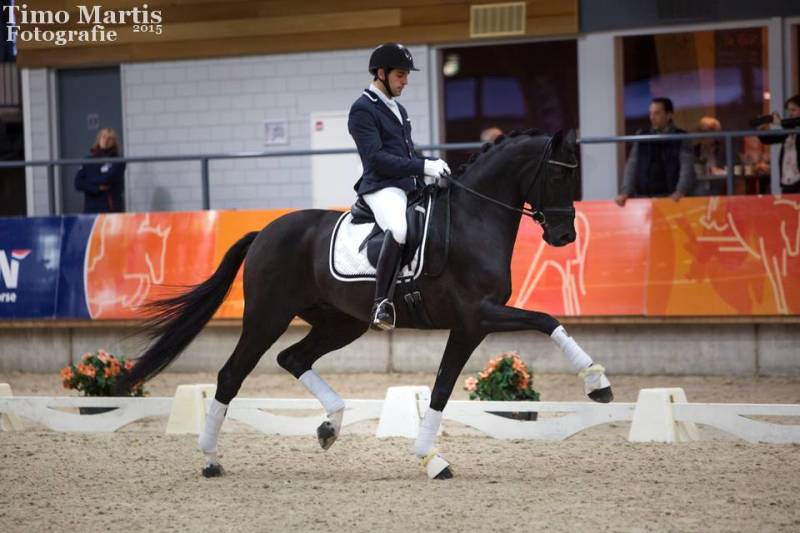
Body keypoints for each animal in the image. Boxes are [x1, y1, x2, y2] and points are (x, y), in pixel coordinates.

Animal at [119, 128, 614, 480]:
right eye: (559, 174)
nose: (564, 236)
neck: (473, 220)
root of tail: (264, 232)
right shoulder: (480, 314)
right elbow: (545, 319)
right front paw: (597, 382)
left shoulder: (470, 326)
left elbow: (442, 388)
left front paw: (430, 458)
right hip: (266, 318)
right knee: (231, 375)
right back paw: (209, 459)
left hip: (340, 323)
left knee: (292, 357)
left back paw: (330, 426)